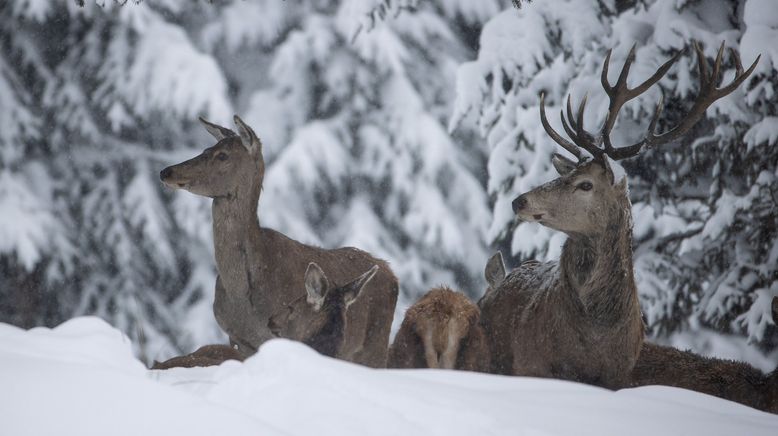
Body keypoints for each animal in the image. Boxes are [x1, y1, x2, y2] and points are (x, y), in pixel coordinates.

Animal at [160, 116, 398, 368]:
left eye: (223, 155)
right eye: (206, 149)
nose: (166, 172)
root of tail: (390, 270)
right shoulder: (238, 338)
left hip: (375, 344)